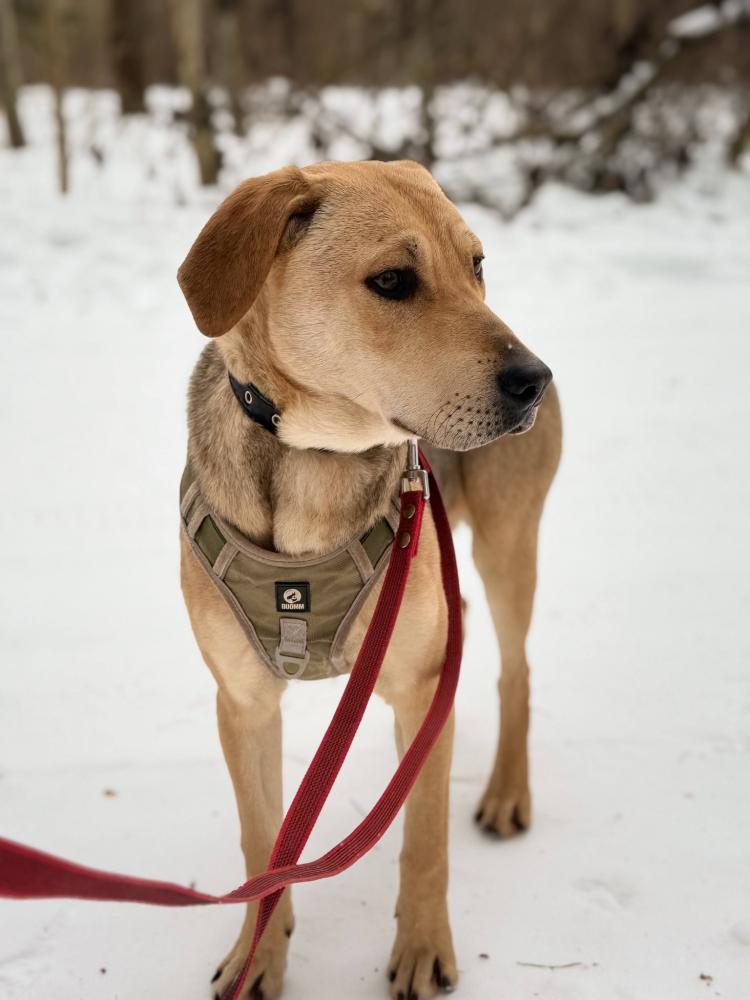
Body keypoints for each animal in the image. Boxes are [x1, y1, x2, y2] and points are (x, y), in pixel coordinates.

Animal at [177, 160, 561, 999]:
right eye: (392, 281)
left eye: (476, 265)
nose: (535, 379)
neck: (313, 463)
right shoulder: (243, 702)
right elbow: (264, 843)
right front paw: (260, 954)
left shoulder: (417, 685)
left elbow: (423, 841)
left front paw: (421, 949)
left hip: (508, 542)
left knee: (516, 668)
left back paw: (507, 792)